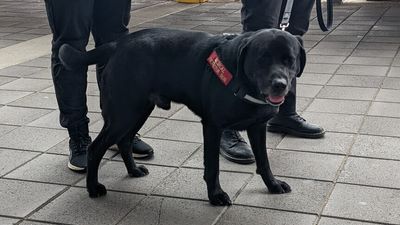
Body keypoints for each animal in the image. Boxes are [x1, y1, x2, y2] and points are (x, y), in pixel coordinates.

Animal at [58, 27, 304, 206]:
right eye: (262, 59)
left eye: (289, 60)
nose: (280, 85)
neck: (242, 80)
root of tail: (119, 44)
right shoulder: (213, 127)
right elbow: (212, 167)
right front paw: (215, 195)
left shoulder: (258, 127)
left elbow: (264, 161)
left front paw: (272, 185)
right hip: (123, 114)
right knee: (96, 148)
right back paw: (93, 188)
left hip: (137, 111)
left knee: (125, 140)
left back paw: (133, 170)